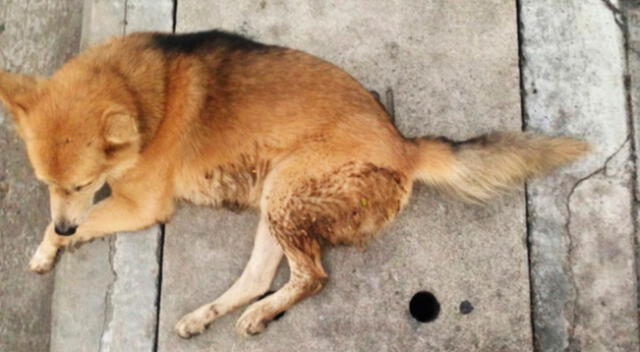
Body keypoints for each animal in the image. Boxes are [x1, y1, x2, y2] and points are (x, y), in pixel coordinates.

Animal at [0, 31, 592, 338]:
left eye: (83, 183)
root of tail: (403, 143)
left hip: (286, 189)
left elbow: (77, 225)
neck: (138, 89)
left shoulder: (140, 206)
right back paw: (205, 316)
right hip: (273, 199)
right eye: (45, 181)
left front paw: (48, 247)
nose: (65, 224)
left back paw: (260, 315)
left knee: (312, 277)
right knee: (260, 278)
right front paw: (52, 241)